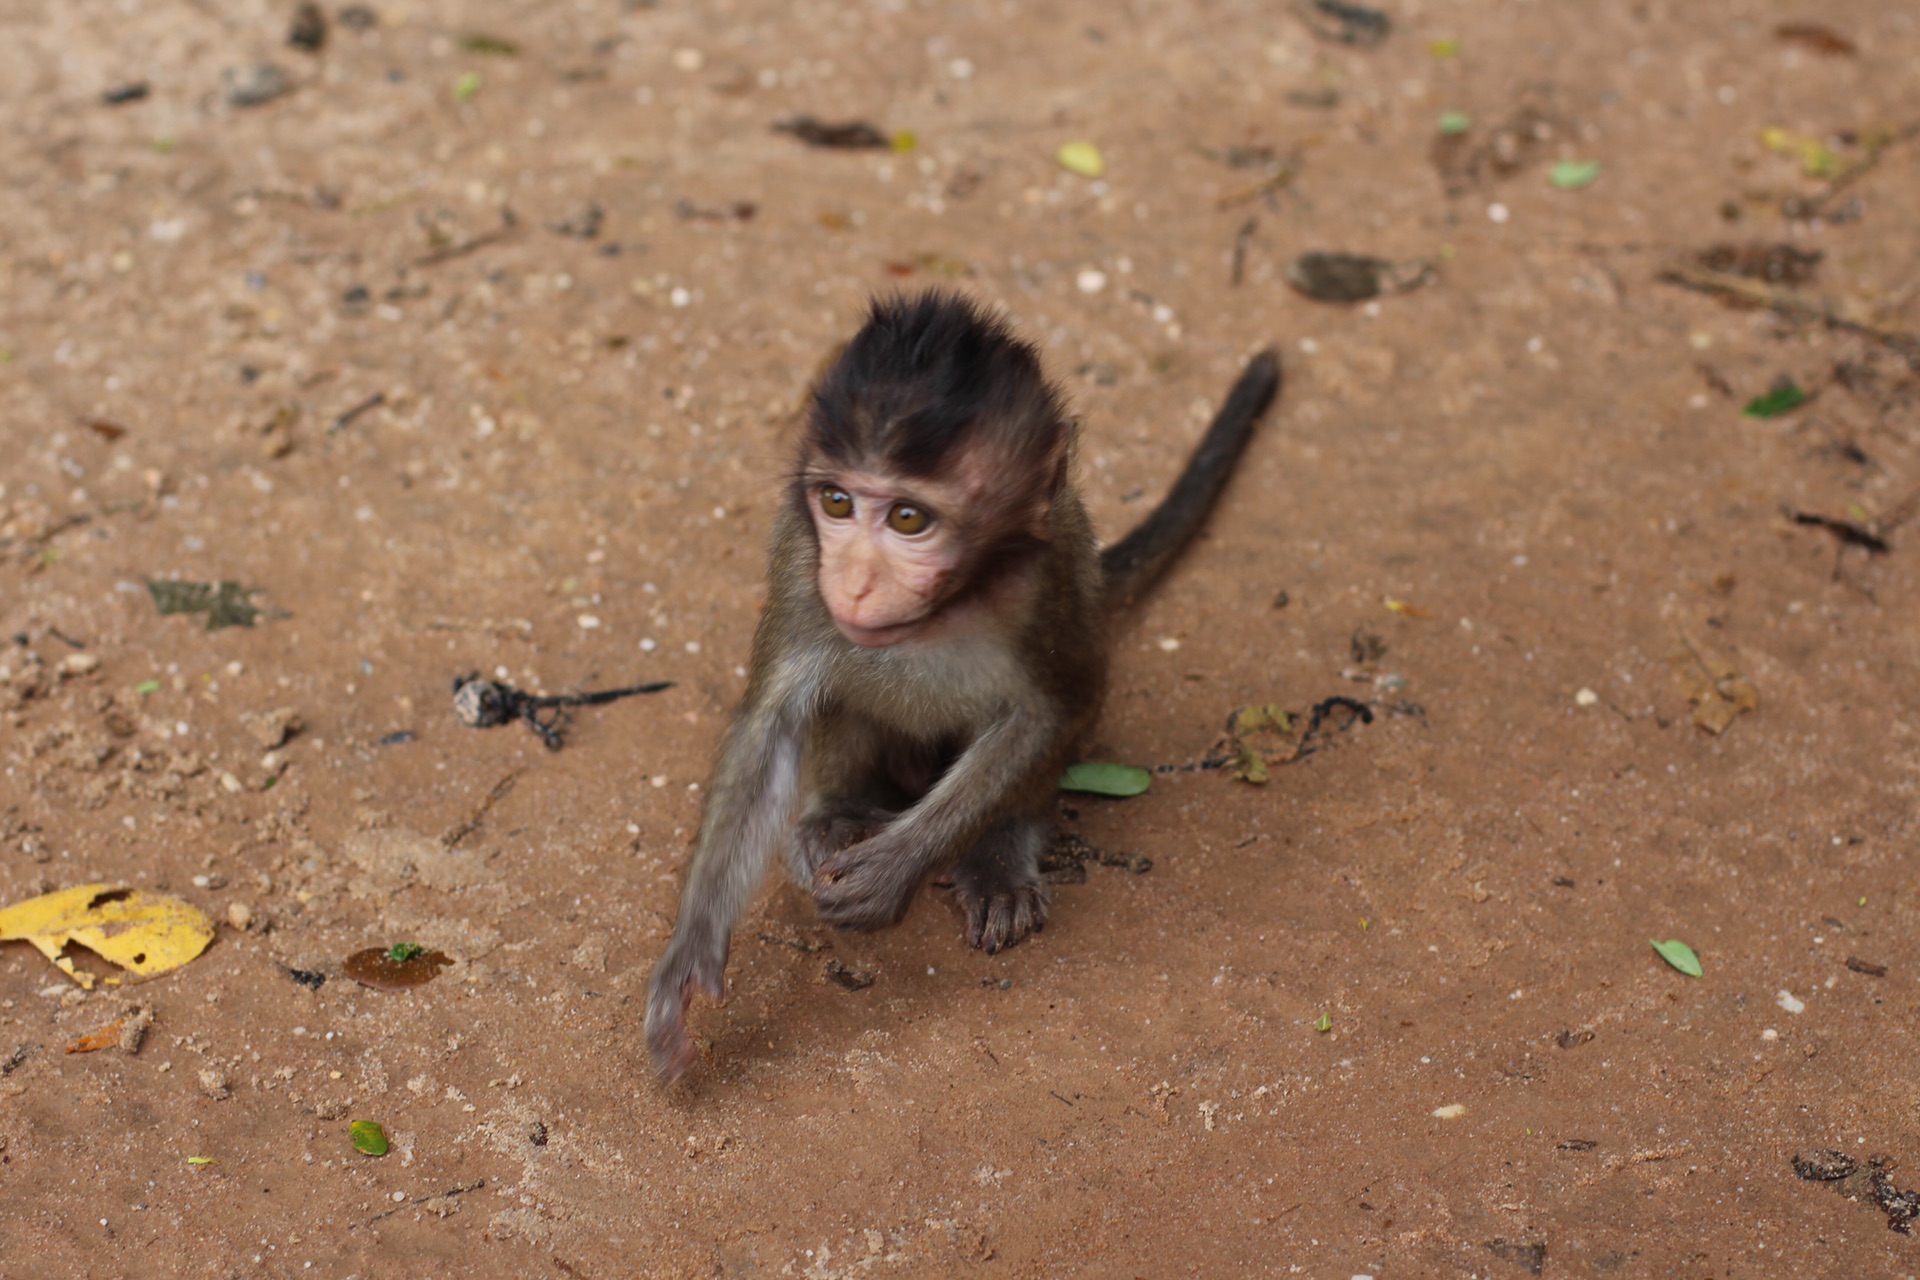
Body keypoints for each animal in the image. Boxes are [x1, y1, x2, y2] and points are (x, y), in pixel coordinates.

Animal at [645, 293, 1274, 1082]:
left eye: (909, 518)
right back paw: (835, 817)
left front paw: (897, 869)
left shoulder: (1047, 576)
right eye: (837, 503)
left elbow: (1051, 709)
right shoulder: (797, 552)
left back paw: (999, 851)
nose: (854, 581)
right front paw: (691, 951)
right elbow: (772, 721)